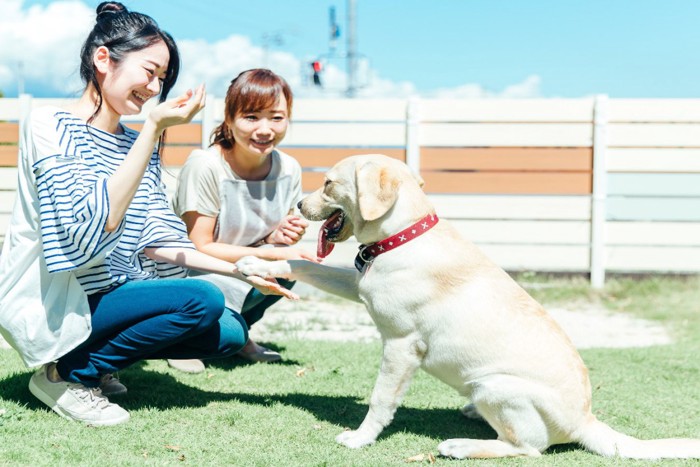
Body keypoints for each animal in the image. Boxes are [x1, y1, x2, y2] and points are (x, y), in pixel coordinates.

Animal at [237, 154, 700, 460]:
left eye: (329, 183)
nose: (299, 206)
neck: (403, 235)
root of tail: (586, 420)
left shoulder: (401, 345)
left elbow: (380, 400)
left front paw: (360, 438)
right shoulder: (359, 283)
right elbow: (306, 263)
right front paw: (255, 264)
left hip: (495, 385)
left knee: (528, 448)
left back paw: (460, 445)